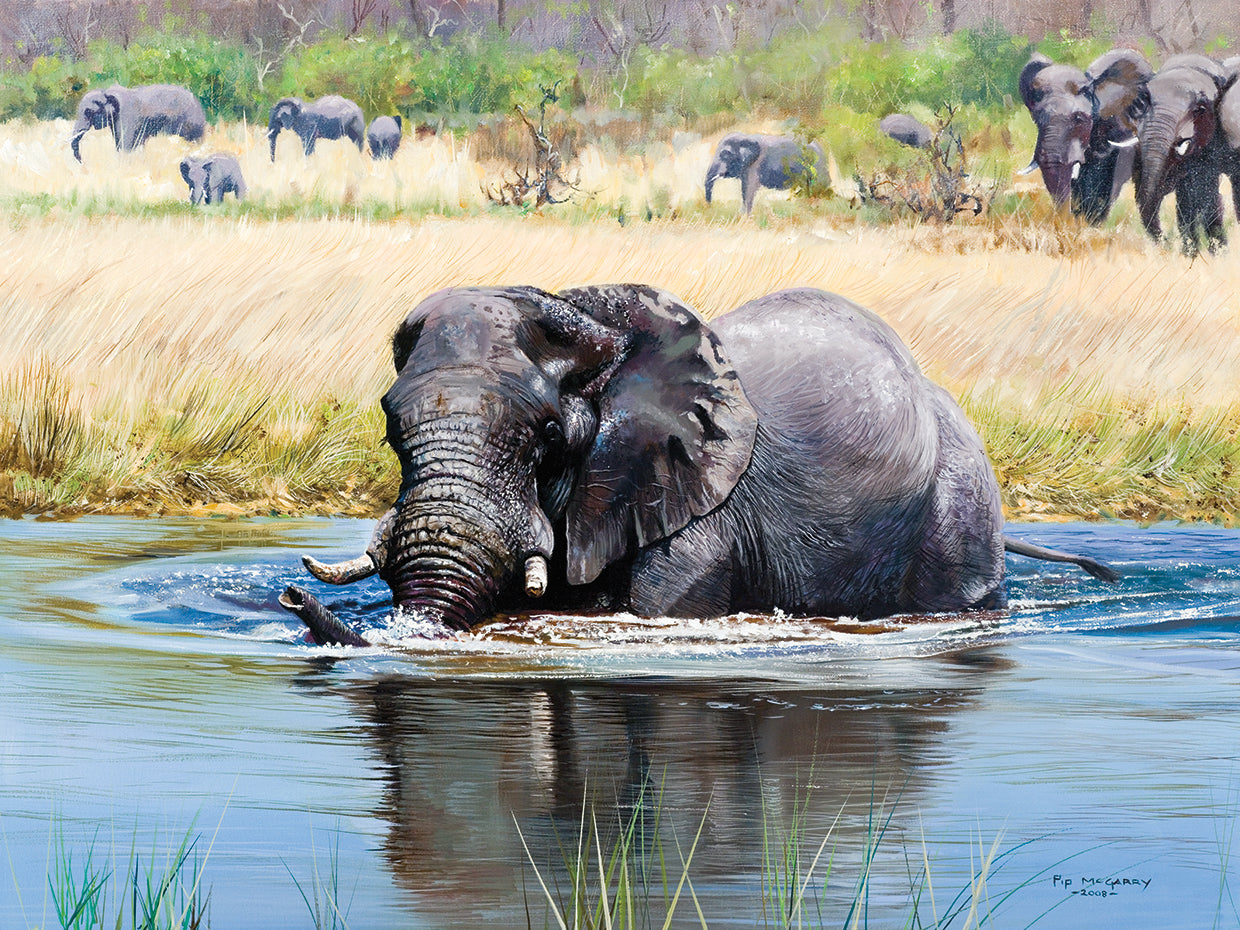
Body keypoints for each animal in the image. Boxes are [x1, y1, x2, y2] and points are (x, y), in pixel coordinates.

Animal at [70, 84, 205, 163]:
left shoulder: (127, 115)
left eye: (88, 112)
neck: (106, 92)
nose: (83, 163)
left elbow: (126, 145)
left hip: (190, 122)